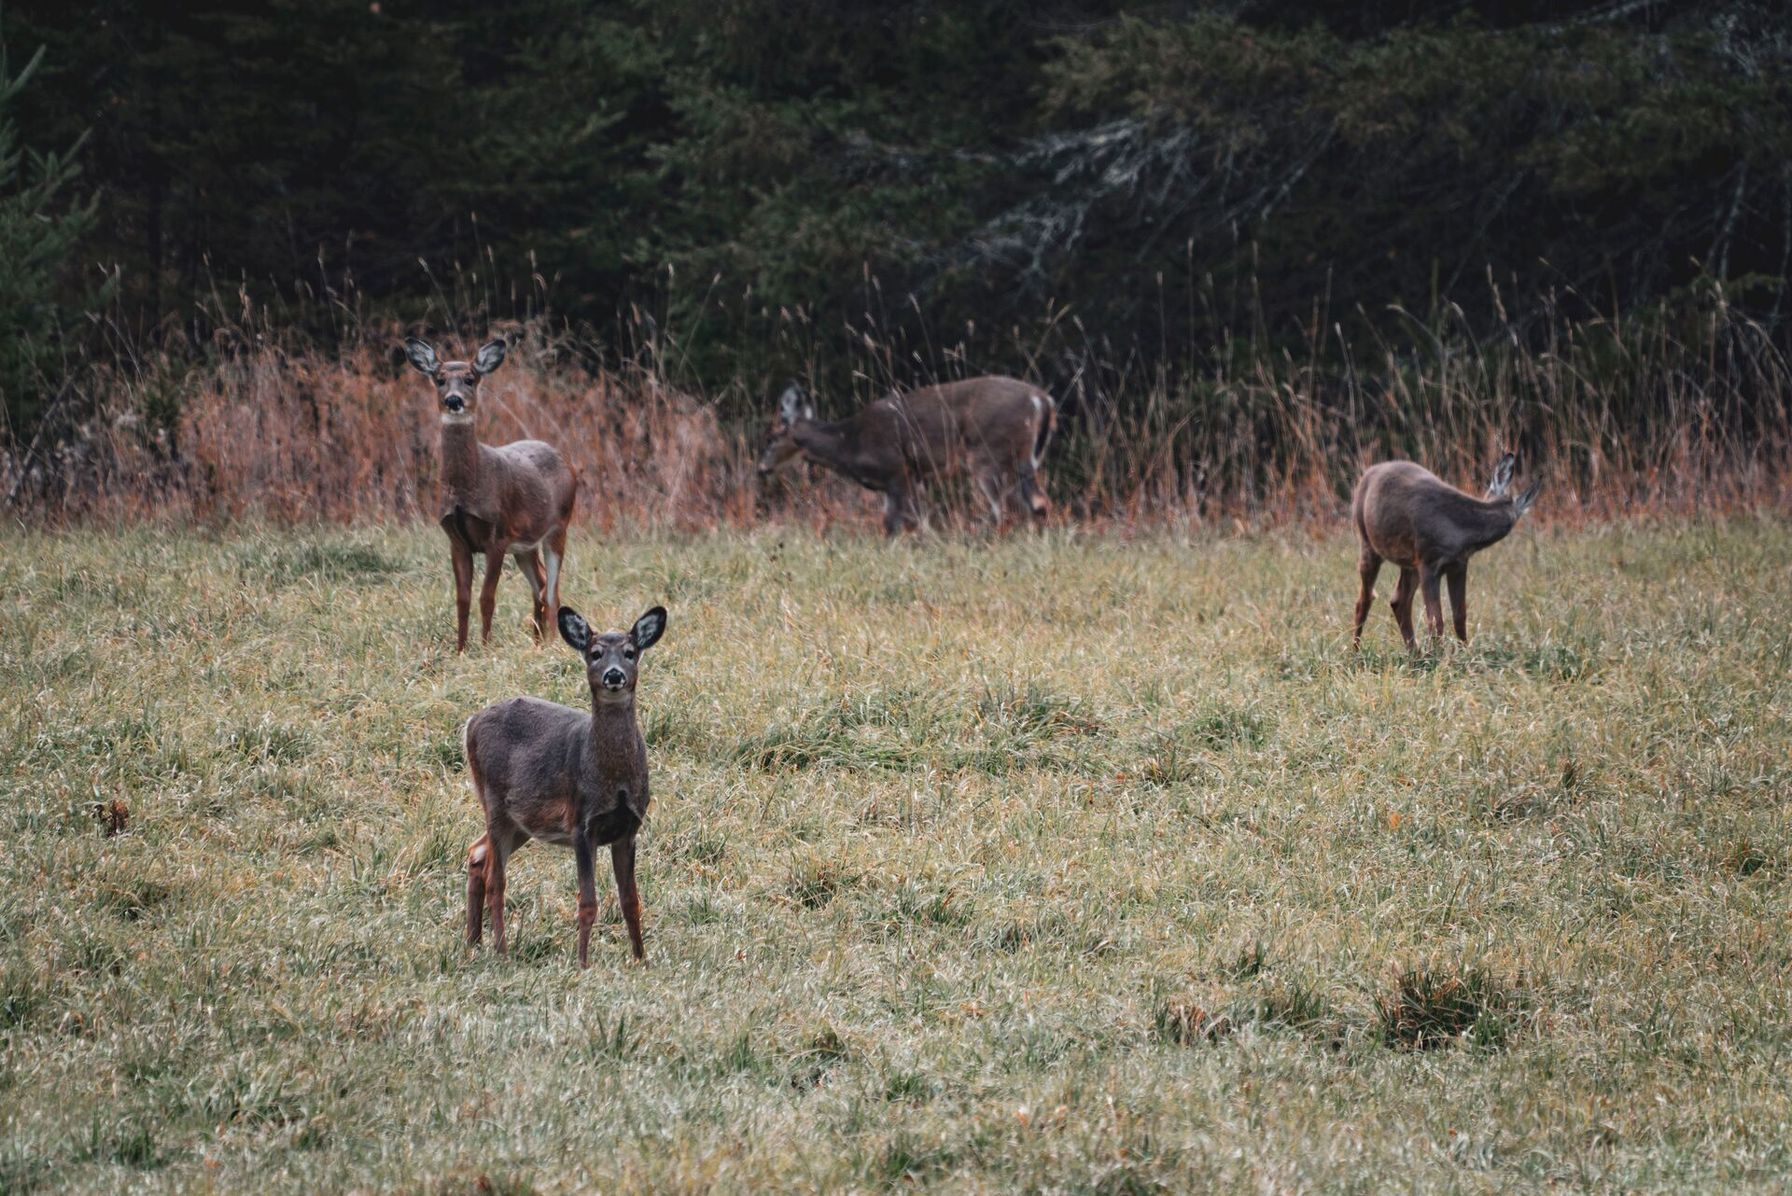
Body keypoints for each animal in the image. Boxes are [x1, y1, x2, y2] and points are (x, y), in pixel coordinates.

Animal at [403, 336, 578, 652]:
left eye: (470, 379)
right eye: (440, 379)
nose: (454, 400)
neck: (466, 490)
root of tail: (568, 462)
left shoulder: (497, 534)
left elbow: (487, 598)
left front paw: (484, 647)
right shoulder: (456, 539)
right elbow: (462, 599)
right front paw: (460, 649)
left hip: (559, 527)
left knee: (552, 590)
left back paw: (550, 644)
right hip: (525, 545)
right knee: (540, 584)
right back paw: (537, 642)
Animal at [463, 604, 667, 967]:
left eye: (630, 652)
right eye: (595, 653)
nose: (614, 675)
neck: (613, 781)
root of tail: (470, 723)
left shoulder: (629, 828)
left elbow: (631, 901)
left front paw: (641, 961)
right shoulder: (581, 824)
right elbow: (587, 903)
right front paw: (583, 963)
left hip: (521, 823)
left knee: (477, 853)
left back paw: (474, 942)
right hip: (494, 801)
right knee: (495, 879)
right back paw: (501, 950)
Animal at [757, 376, 1055, 535]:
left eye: (770, 438)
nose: (761, 468)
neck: (849, 443)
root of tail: (1042, 400)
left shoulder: (897, 469)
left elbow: (902, 522)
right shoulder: (913, 477)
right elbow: (898, 521)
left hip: (988, 455)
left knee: (1006, 508)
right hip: (1022, 459)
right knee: (1039, 504)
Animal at [1351, 453, 1541, 651]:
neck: (1459, 531)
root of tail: (1370, 472)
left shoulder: (1458, 564)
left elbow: (1459, 616)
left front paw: (1463, 651)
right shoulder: (1428, 562)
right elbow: (1436, 620)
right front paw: (1436, 654)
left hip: (1409, 562)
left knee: (1398, 600)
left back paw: (1414, 652)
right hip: (1368, 544)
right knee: (1364, 600)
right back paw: (1356, 651)